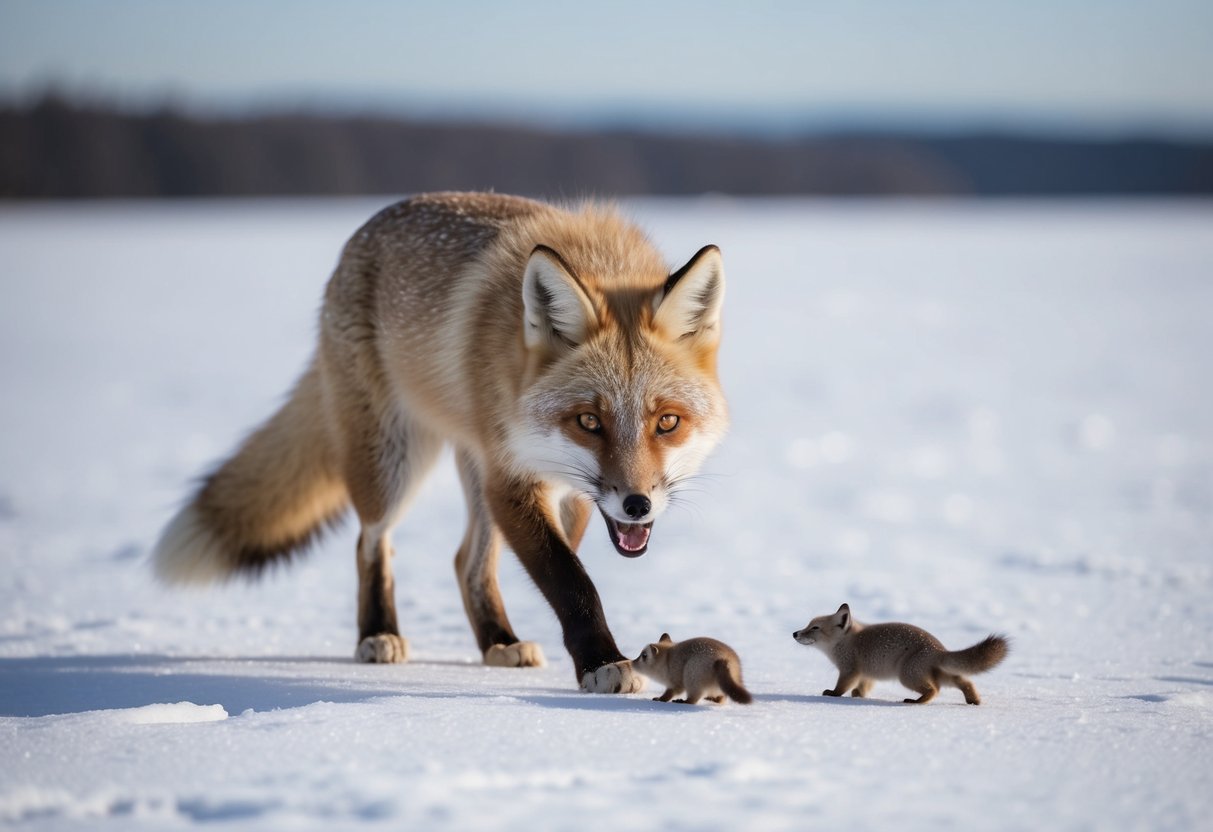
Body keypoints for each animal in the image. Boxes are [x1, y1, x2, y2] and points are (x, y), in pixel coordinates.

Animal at [151, 192, 728, 693]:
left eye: (667, 423)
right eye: (589, 421)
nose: (637, 505)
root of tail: (366, 229)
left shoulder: (563, 490)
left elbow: (564, 569)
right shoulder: (512, 478)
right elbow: (572, 581)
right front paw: (602, 663)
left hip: (472, 472)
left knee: (465, 561)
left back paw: (498, 641)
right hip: (392, 463)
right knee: (371, 542)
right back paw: (378, 634)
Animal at [793, 604, 1009, 705]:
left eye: (815, 628)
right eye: (808, 625)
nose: (794, 633)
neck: (846, 641)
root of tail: (939, 649)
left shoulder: (849, 670)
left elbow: (841, 688)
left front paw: (833, 694)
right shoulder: (866, 674)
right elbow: (862, 688)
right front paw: (859, 695)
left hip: (907, 676)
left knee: (935, 690)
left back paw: (915, 702)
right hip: (942, 674)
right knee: (965, 681)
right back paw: (973, 701)